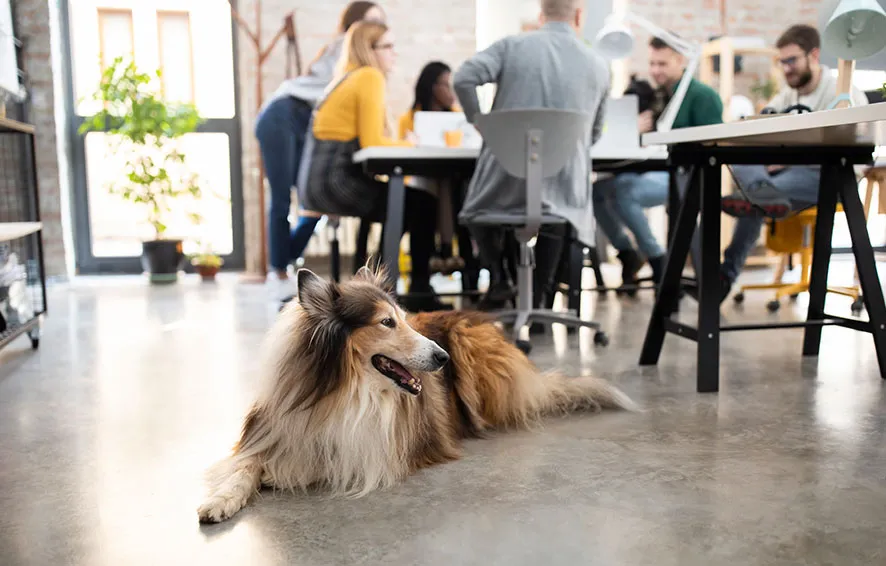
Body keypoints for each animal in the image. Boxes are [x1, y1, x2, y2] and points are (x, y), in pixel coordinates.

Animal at [198, 268, 636, 524]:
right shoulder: (270, 430)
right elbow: (244, 466)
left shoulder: (373, 448)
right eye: (386, 322)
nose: (442, 359)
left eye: (404, 319)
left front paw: (280, 472)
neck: (344, 392)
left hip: (470, 346)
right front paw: (221, 500)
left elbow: (317, 459)